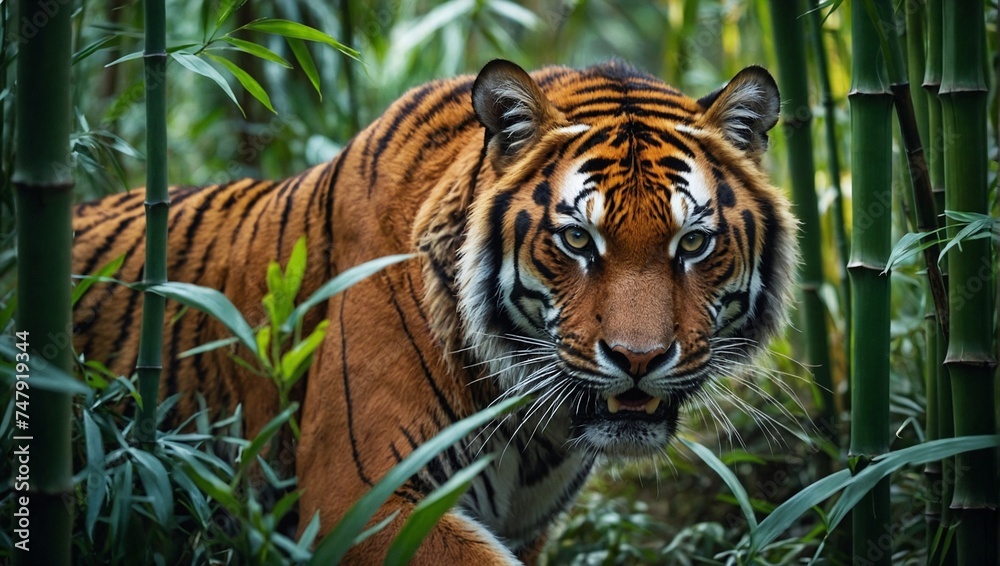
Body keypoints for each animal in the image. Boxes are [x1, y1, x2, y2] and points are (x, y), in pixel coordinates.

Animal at [72, 59, 797, 564]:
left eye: (693, 243)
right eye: (577, 240)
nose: (638, 359)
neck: (539, 430)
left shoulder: (526, 526)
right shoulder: (361, 499)